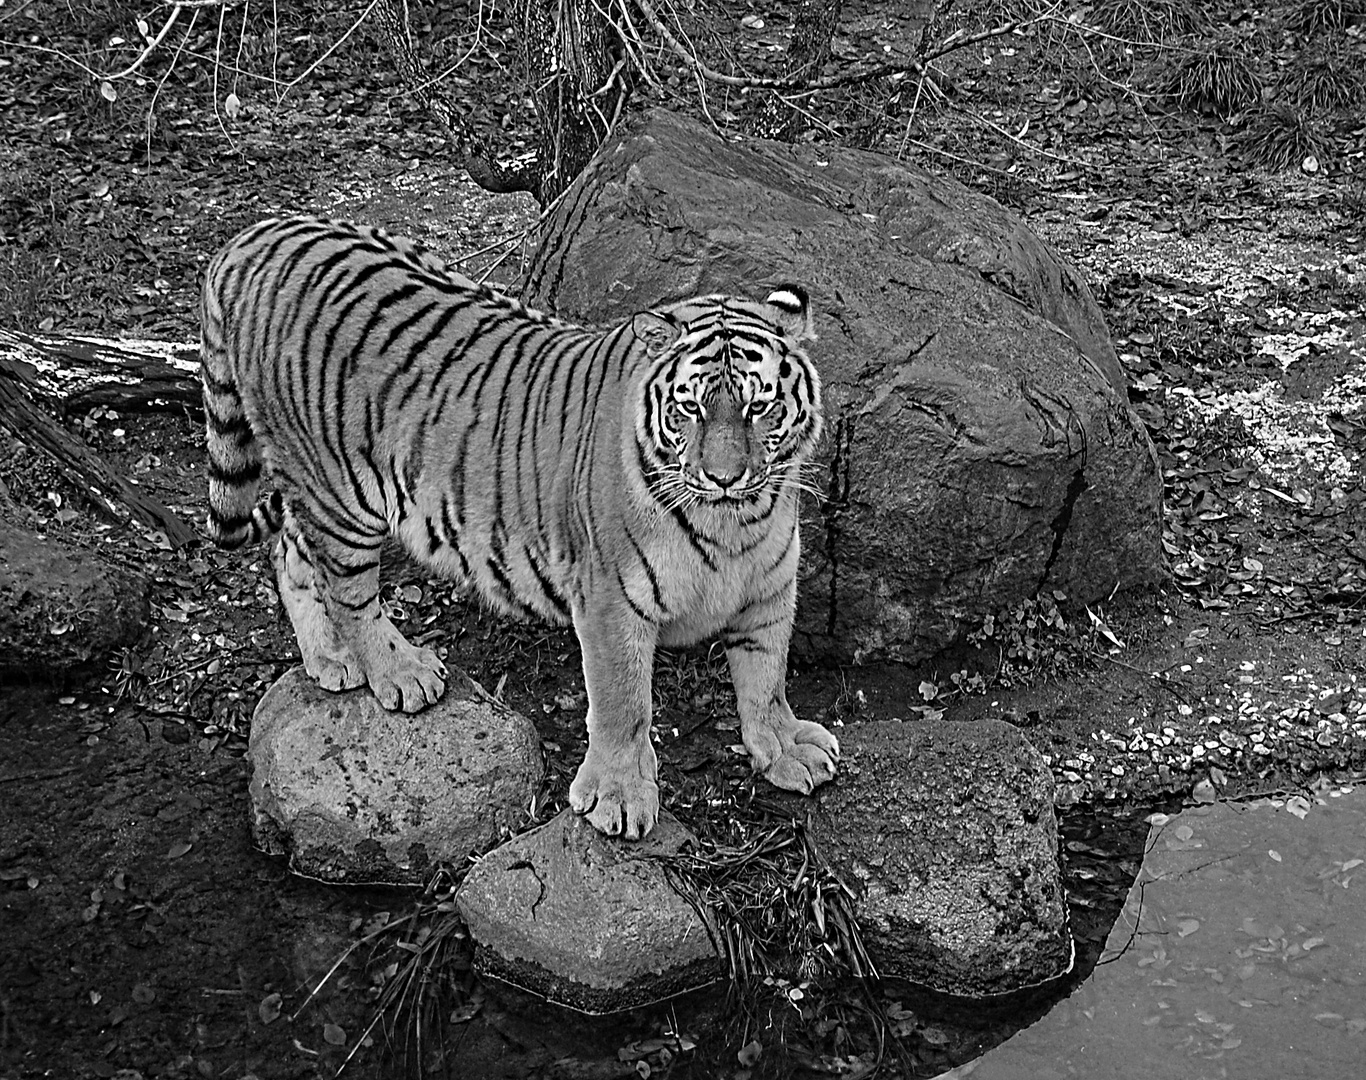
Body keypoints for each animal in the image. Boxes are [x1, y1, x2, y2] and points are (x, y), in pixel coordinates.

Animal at [198, 215, 835, 841]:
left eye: (758, 408)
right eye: (691, 409)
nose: (724, 477)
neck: (736, 526)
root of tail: (258, 235)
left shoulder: (771, 586)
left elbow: (767, 676)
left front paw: (786, 748)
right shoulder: (611, 600)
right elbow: (624, 703)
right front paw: (617, 797)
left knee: (292, 553)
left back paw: (329, 658)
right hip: (339, 493)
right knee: (347, 592)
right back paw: (401, 671)